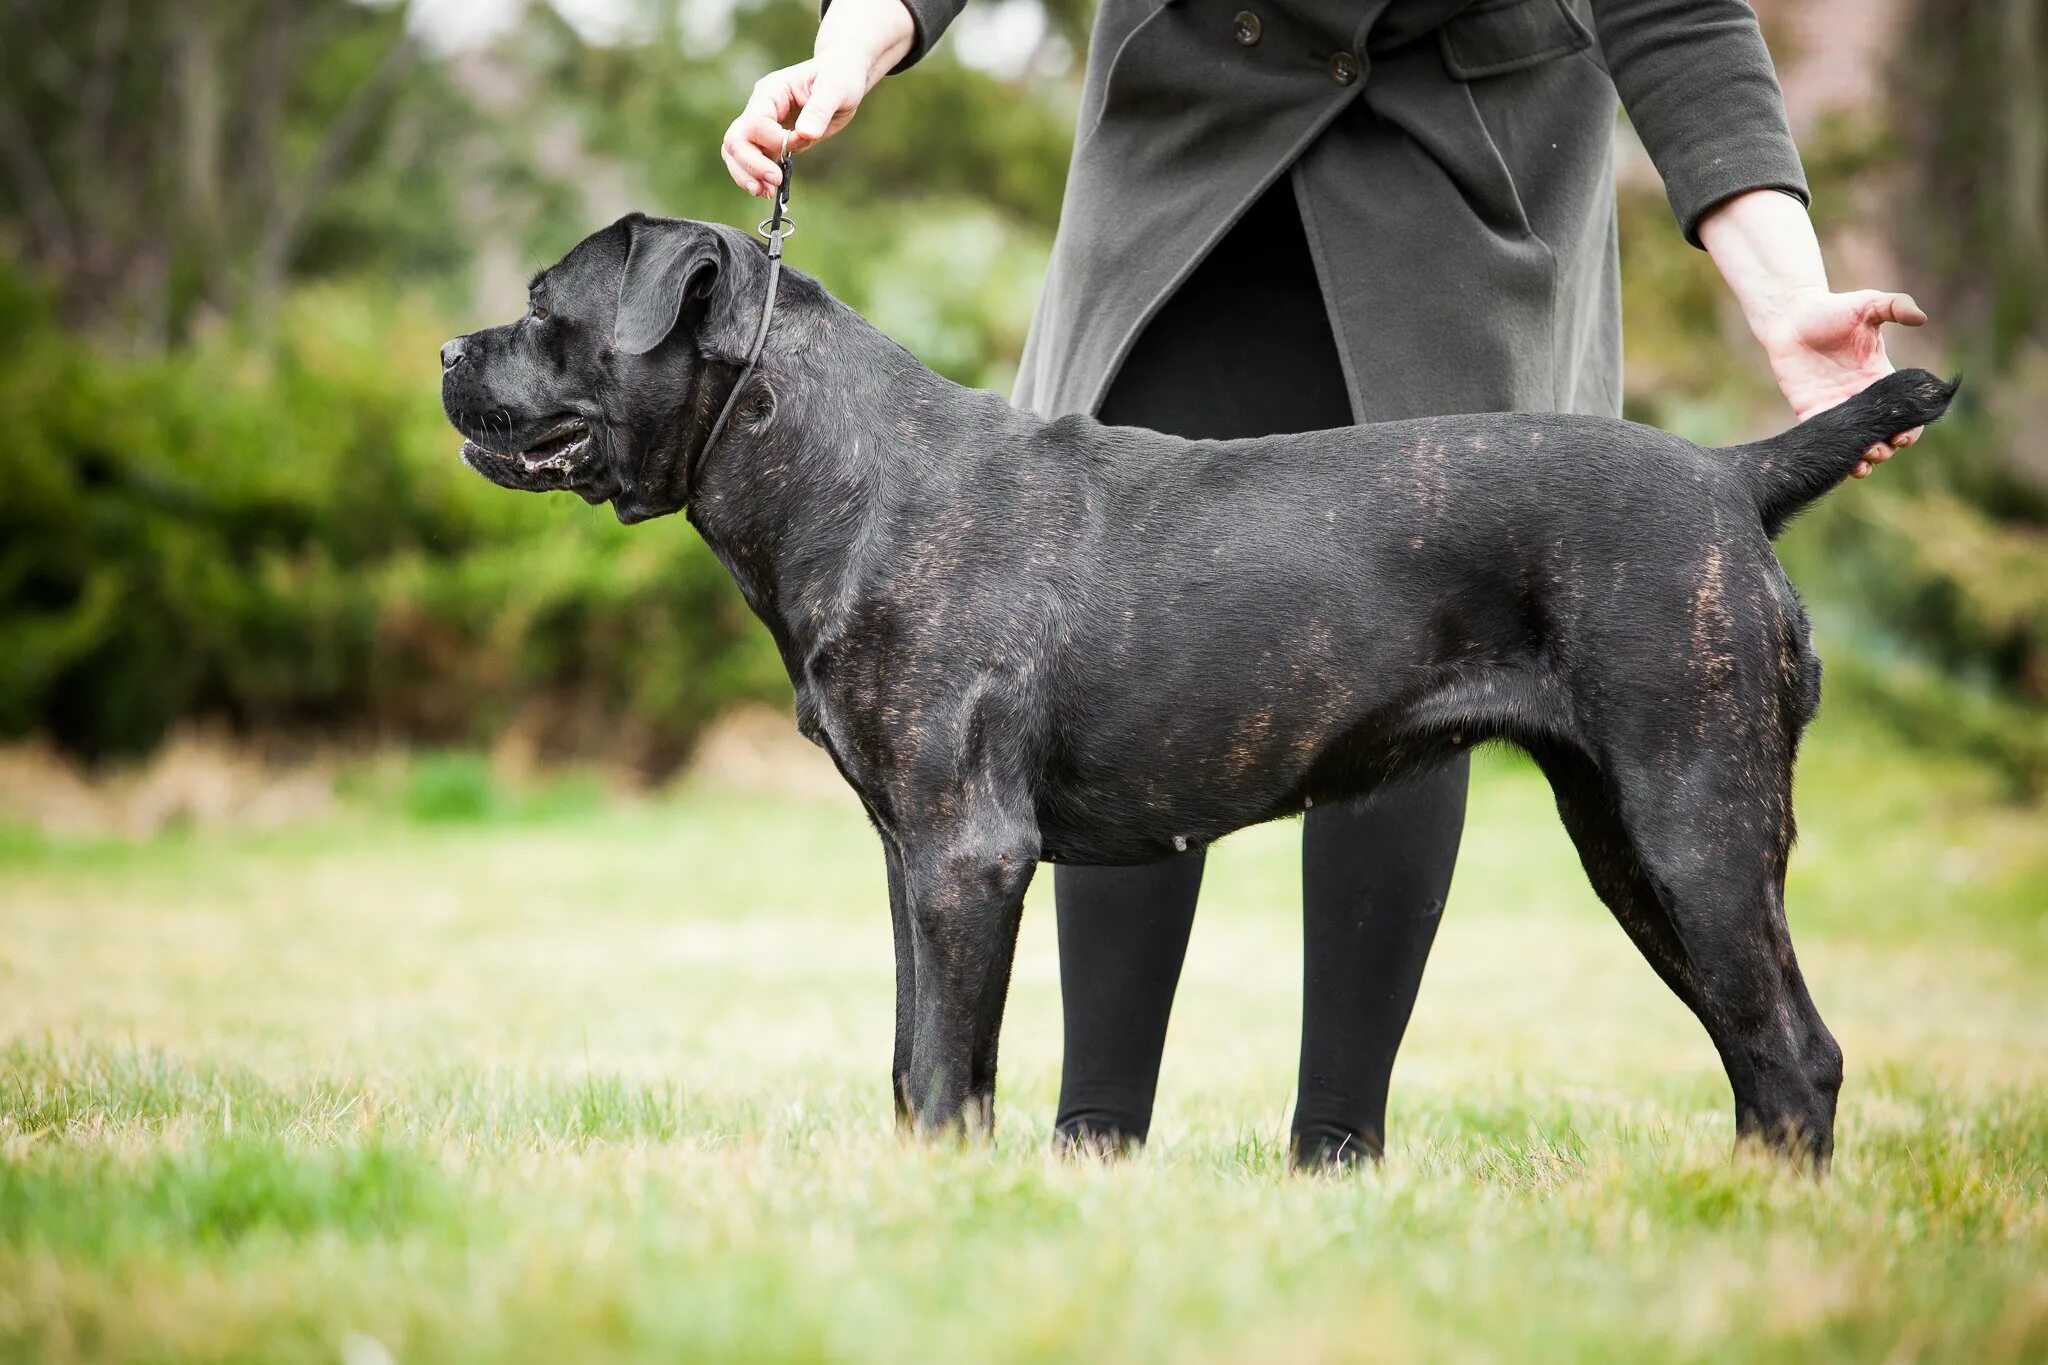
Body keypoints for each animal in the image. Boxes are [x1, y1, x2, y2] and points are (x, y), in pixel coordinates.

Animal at [444, 213, 1949, 1162]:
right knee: (1757, 1051)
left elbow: (941, 1062)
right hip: (1631, 846)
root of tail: (1733, 479)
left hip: (1695, 820)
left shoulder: (966, 853)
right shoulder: (910, 852)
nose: (450, 352)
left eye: (544, 307)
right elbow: (920, 1057)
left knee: (1794, 1049)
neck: (838, 472)